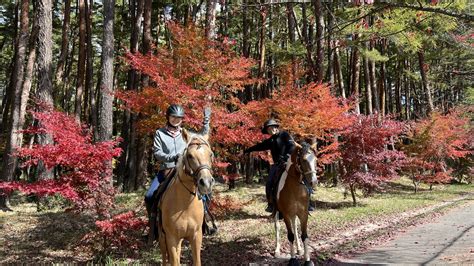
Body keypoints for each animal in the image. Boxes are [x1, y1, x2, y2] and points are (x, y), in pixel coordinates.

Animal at [157, 128, 215, 264]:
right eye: (190, 156)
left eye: (210, 154)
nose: (206, 183)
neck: (185, 205)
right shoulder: (171, 238)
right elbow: (174, 262)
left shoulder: (196, 236)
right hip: (163, 237)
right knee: (164, 256)